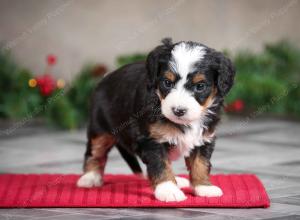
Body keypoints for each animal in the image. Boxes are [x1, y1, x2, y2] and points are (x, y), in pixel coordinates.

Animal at [77, 38, 234, 202]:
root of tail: (103, 79)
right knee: (95, 152)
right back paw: (90, 177)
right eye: (167, 83)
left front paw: (204, 187)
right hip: (100, 128)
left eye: (200, 86)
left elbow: (200, 163)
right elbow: (160, 164)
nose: (178, 111)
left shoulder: (203, 138)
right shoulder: (152, 139)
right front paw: (168, 189)